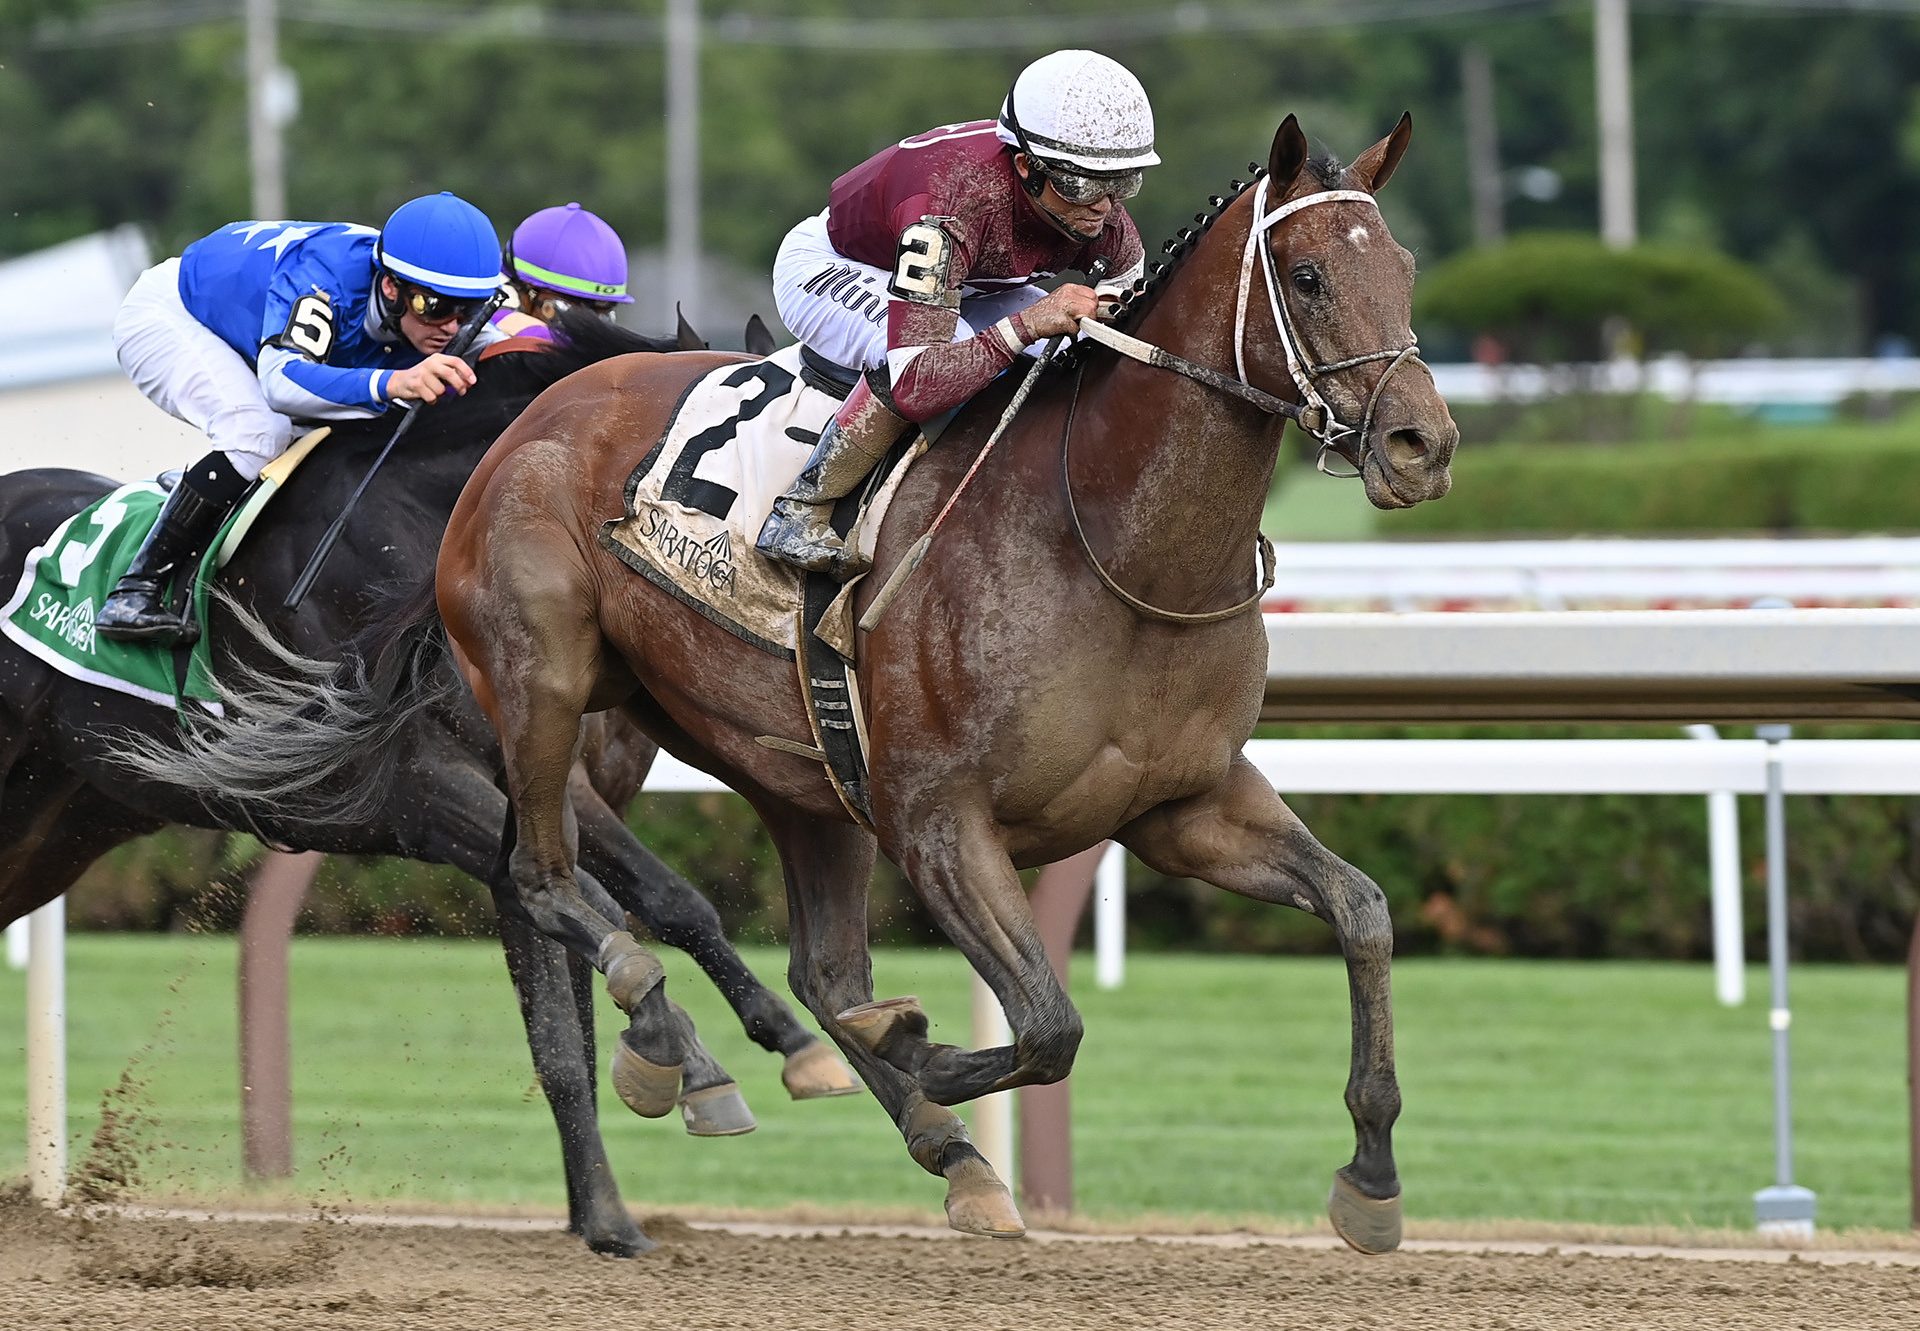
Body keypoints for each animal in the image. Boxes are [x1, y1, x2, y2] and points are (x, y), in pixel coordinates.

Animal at [0, 314, 856, 1259]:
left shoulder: (549, 785)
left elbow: (656, 910)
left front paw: (763, 1060)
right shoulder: (405, 789)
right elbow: (584, 942)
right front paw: (677, 1081)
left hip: (61, 821)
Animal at [288, 114, 1451, 1244]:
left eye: (1402, 265)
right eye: (1307, 273)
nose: (1421, 444)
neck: (1109, 540)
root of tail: (535, 410)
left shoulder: (1184, 801)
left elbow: (1361, 909)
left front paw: (1374, 1172)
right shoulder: (938, 818)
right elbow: (1049, 1024)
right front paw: (917, 1044)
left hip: (787, 766)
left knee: (812, 966)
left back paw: (932, 1144)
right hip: (546, 686)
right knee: (543, 876)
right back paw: (673, 1037)